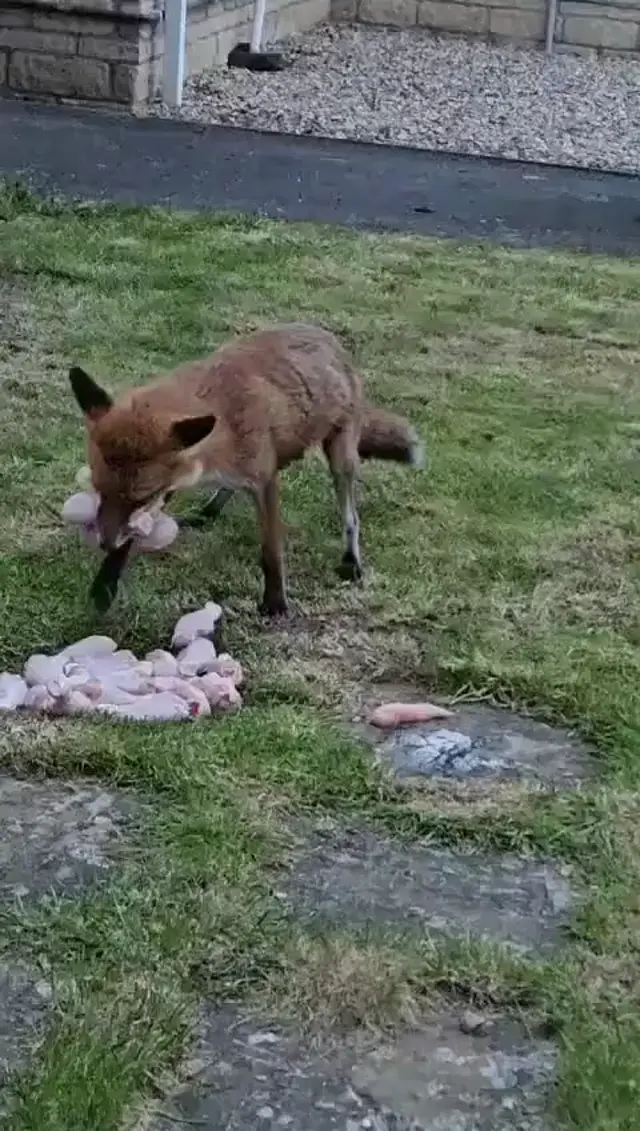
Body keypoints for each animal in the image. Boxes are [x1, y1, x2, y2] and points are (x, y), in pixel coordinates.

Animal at [69, 322, 424, 617]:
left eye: (139, 496)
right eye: (99, 489)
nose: (104, 543)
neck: (224, 423)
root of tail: (329, 338)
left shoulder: (264, 481)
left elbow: (271, 551)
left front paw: (276, 602)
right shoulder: (171, 484)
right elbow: (133, 535)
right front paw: (105, 585)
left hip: (341, 458)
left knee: (351, 516)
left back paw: (350, 561)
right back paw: (208, 511)